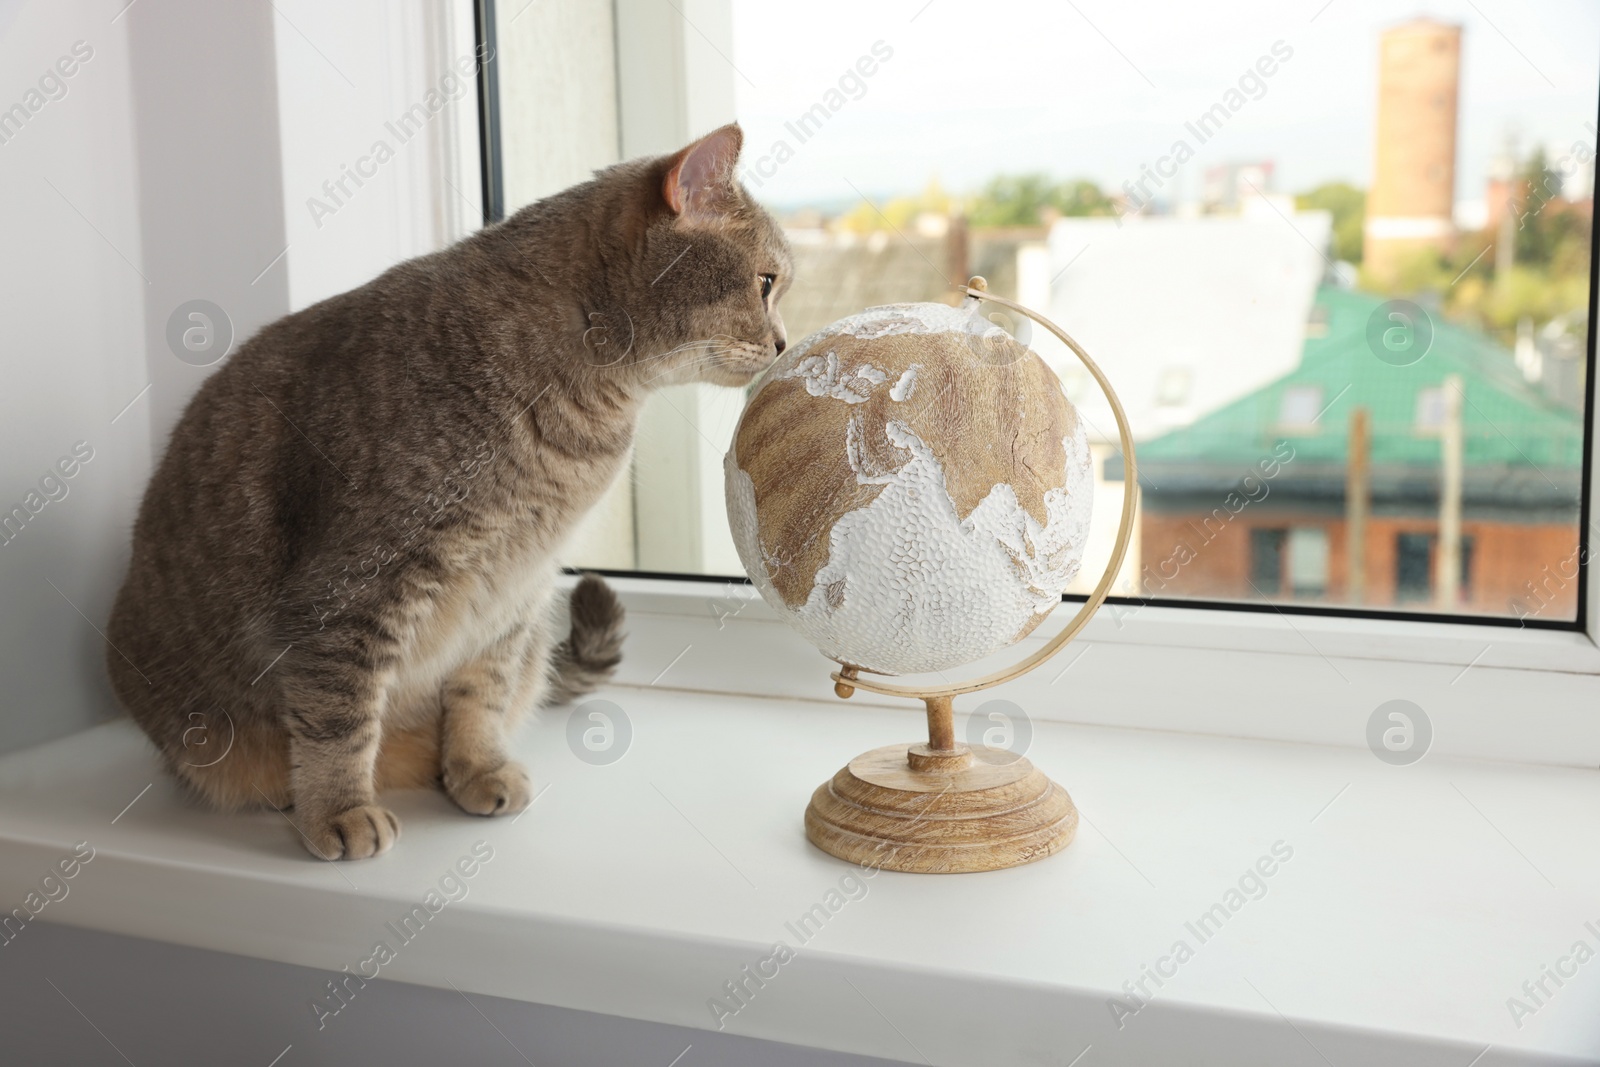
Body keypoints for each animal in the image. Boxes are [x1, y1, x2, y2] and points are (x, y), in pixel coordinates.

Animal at [106, 123, 793, 857]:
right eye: (766, 282)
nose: (786, 342)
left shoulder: (513, 590)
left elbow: (481, 695)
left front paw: (476, 769)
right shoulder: (350, 591)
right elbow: (338, 719)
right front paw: (339, 809)